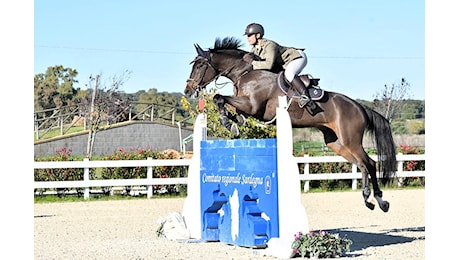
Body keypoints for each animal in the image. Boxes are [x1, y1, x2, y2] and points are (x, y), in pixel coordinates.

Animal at [183, 36, 396, 212]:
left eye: (199, 65)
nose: (188, 90)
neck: (244, 73)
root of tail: (360, 107)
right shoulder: (247, 107)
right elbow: (227, 105)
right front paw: (232, 121)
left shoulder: (252, 105)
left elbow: (219, 97)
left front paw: (227, 122)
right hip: (336, 143)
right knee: (361, 164)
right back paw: (369, 199)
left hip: (350, 139)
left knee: (369, 163)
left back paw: (380, 200)